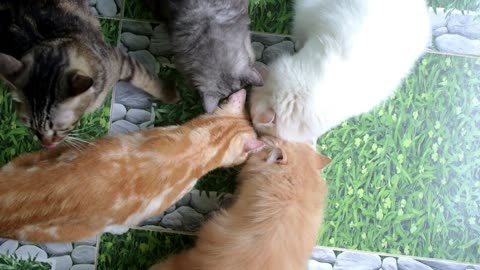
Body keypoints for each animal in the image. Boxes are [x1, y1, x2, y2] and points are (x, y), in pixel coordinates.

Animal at [0, 0, 179, 149]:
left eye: (61, 128)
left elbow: (146, 79)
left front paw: (170, 94)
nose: (46, 145)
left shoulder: (119, 60)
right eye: (29, 126)